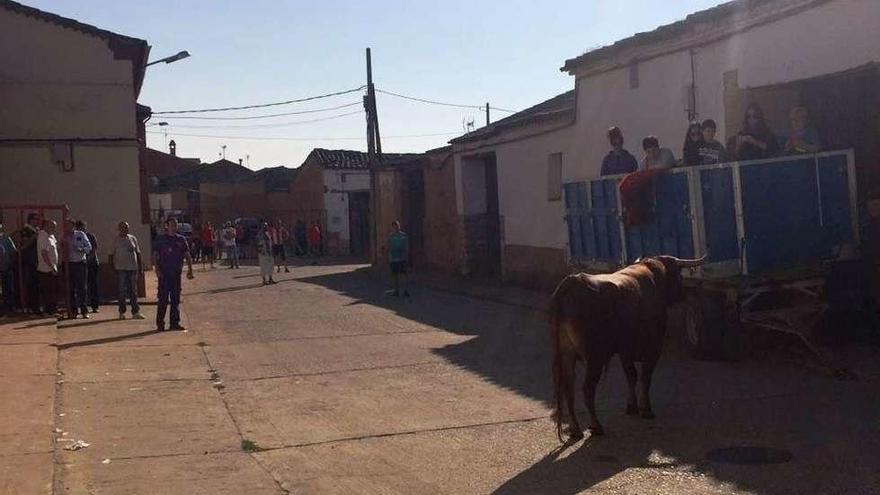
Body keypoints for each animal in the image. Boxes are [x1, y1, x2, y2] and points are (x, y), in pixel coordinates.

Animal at [548, 256, 704, 442]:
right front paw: (647, 410)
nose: (683, 294)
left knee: (568, 388)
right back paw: (596, 426)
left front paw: (632, 406)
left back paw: (576, 429)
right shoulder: (654, 348)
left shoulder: (625, 352)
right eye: (678, 275)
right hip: (595, 359)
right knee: (587, 389)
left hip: (567, 355)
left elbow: (631, 376)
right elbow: (645, 378)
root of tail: (572, 282)